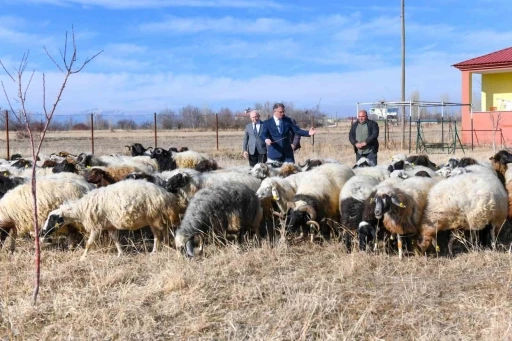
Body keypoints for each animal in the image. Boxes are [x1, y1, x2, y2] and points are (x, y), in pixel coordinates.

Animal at [41, 179, 186, 258]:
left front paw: (82, 257)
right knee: (159, 234)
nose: (42, 234)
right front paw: (120, 253)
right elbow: (115, 240)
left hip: (155, 216)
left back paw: (165, 248)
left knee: (162, 233)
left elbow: (89, 243)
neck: (80, 209)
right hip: (153, 218)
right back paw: (160, 248)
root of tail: (166, 194)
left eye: (52, 219)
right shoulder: (109, 226)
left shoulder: (96, 227)